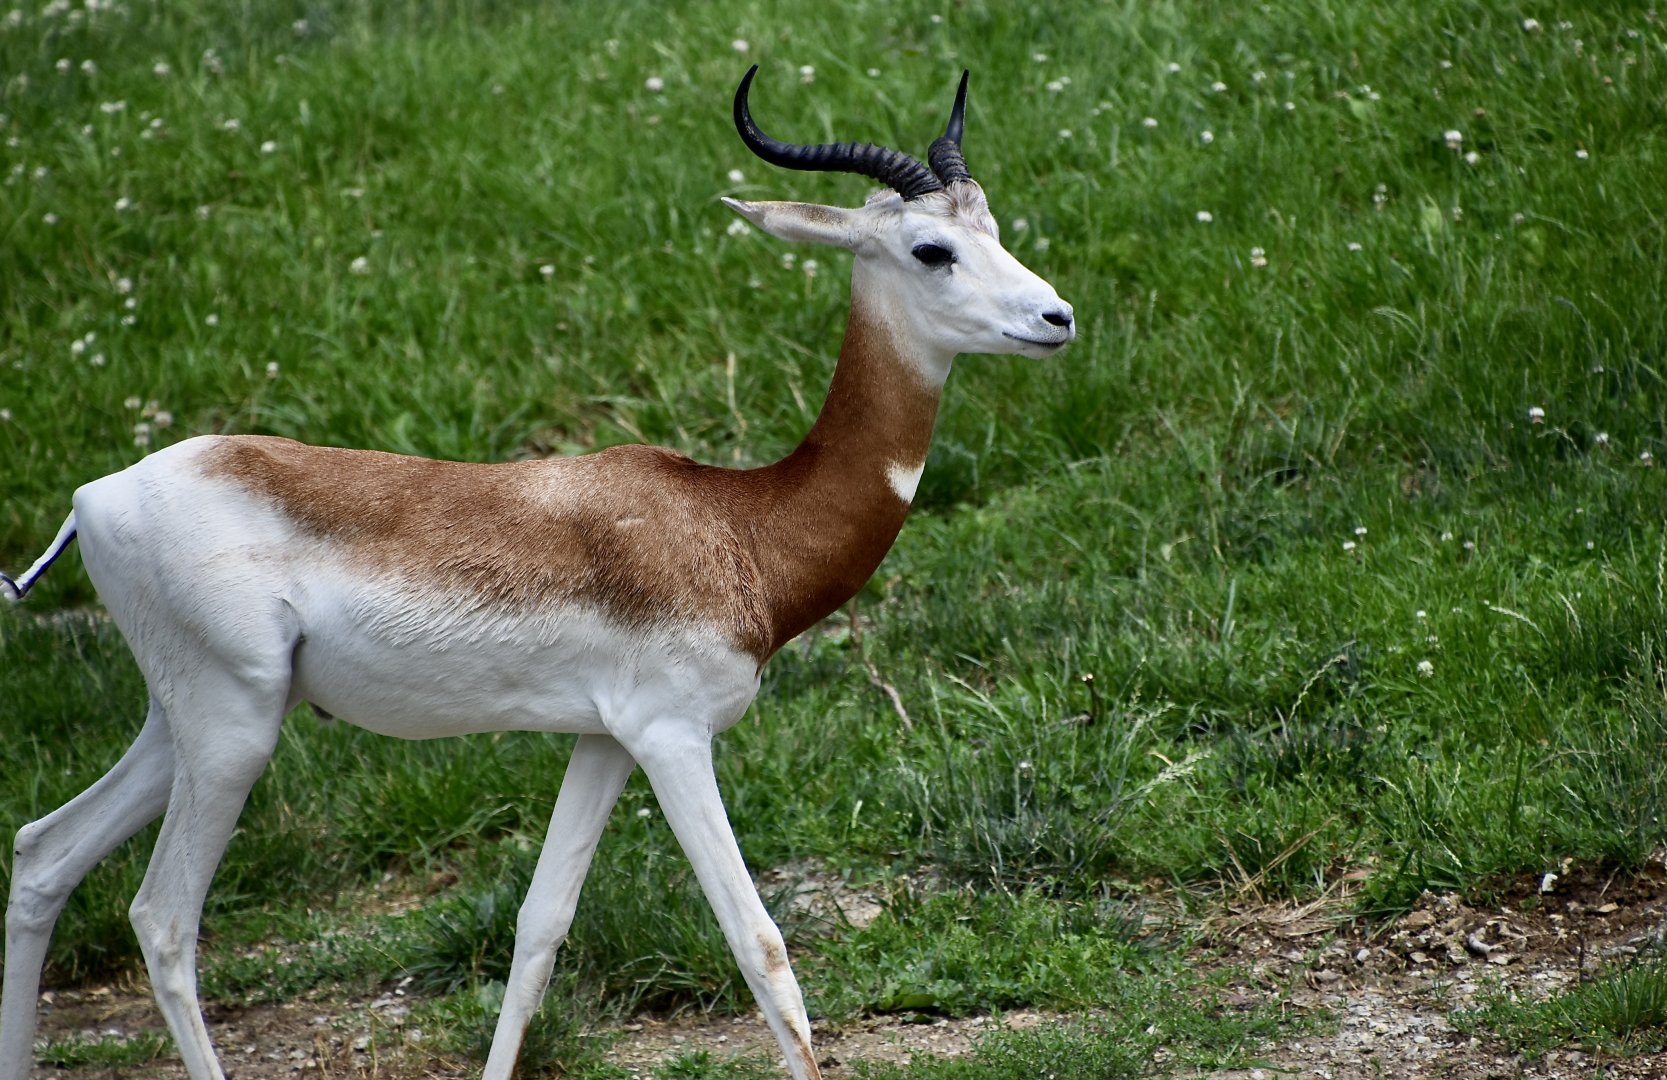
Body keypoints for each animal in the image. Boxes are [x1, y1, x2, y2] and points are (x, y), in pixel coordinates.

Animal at [0, 66, 1073, 1080]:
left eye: (993, 228)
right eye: (930, 250)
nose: (1055, 316)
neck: (736, 523)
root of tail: (96, 495)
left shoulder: (602, 740)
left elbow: (538, 934)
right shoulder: (673, 737)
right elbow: (760, 946)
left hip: (184, 721)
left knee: (43, 854)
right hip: (234, 727)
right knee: (161, 920)